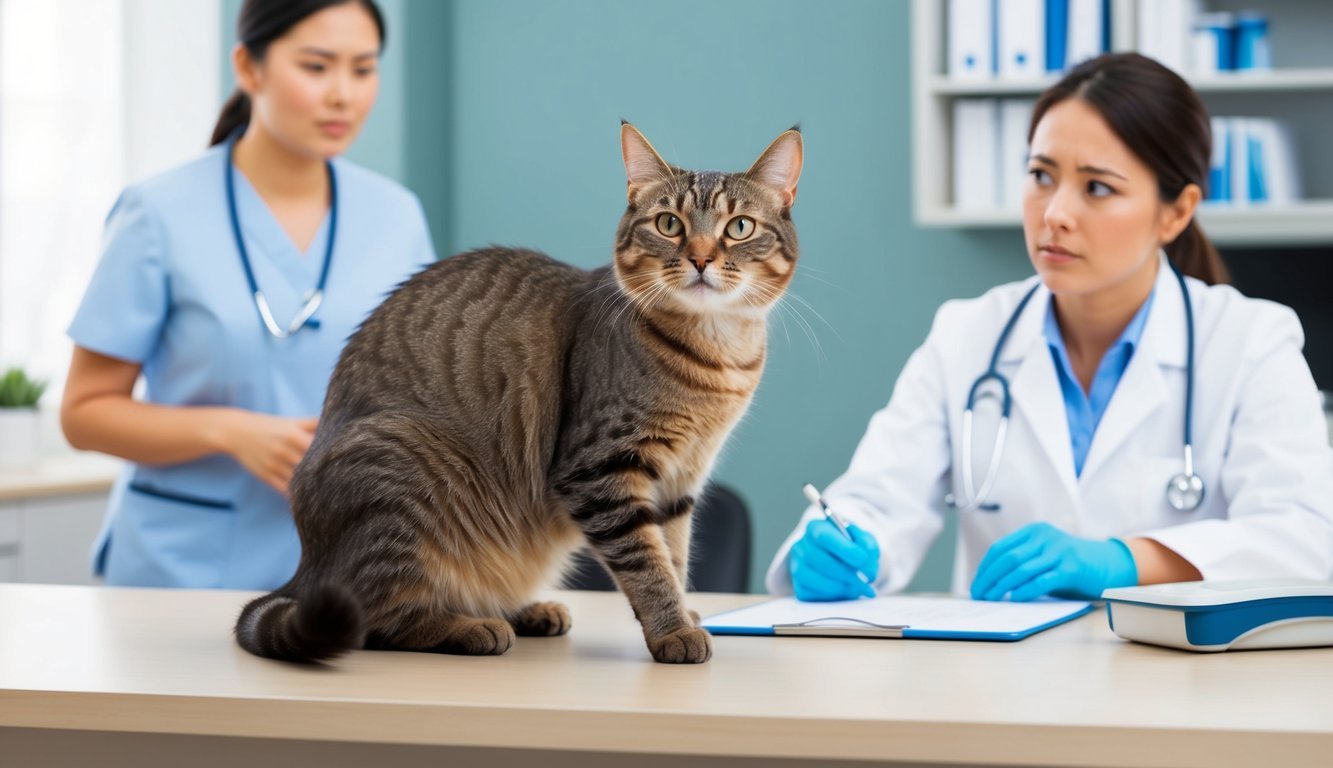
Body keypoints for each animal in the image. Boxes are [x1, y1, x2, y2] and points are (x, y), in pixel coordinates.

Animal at [233, 122, 799, 664]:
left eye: (739, 227)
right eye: (669, 224)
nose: (701, 258)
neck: (718, 359)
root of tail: (306, 567)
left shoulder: (681, 480)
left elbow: (673, 555)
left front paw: (683, 610)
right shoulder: (599, 468)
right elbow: (646, 562)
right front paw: (673, 630)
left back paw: (529, 610)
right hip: (403, 473)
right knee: (378, 619)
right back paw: (471, 627)